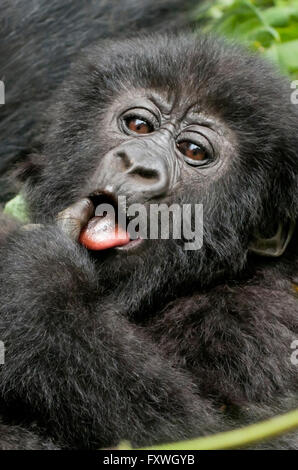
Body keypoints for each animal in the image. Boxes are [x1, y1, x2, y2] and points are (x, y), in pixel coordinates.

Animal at [0, 33, 298, 448]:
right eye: (138, 125)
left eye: (193, 151)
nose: (138, 165)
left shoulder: (258, 320)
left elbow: (234, 432)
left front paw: (40, 280)